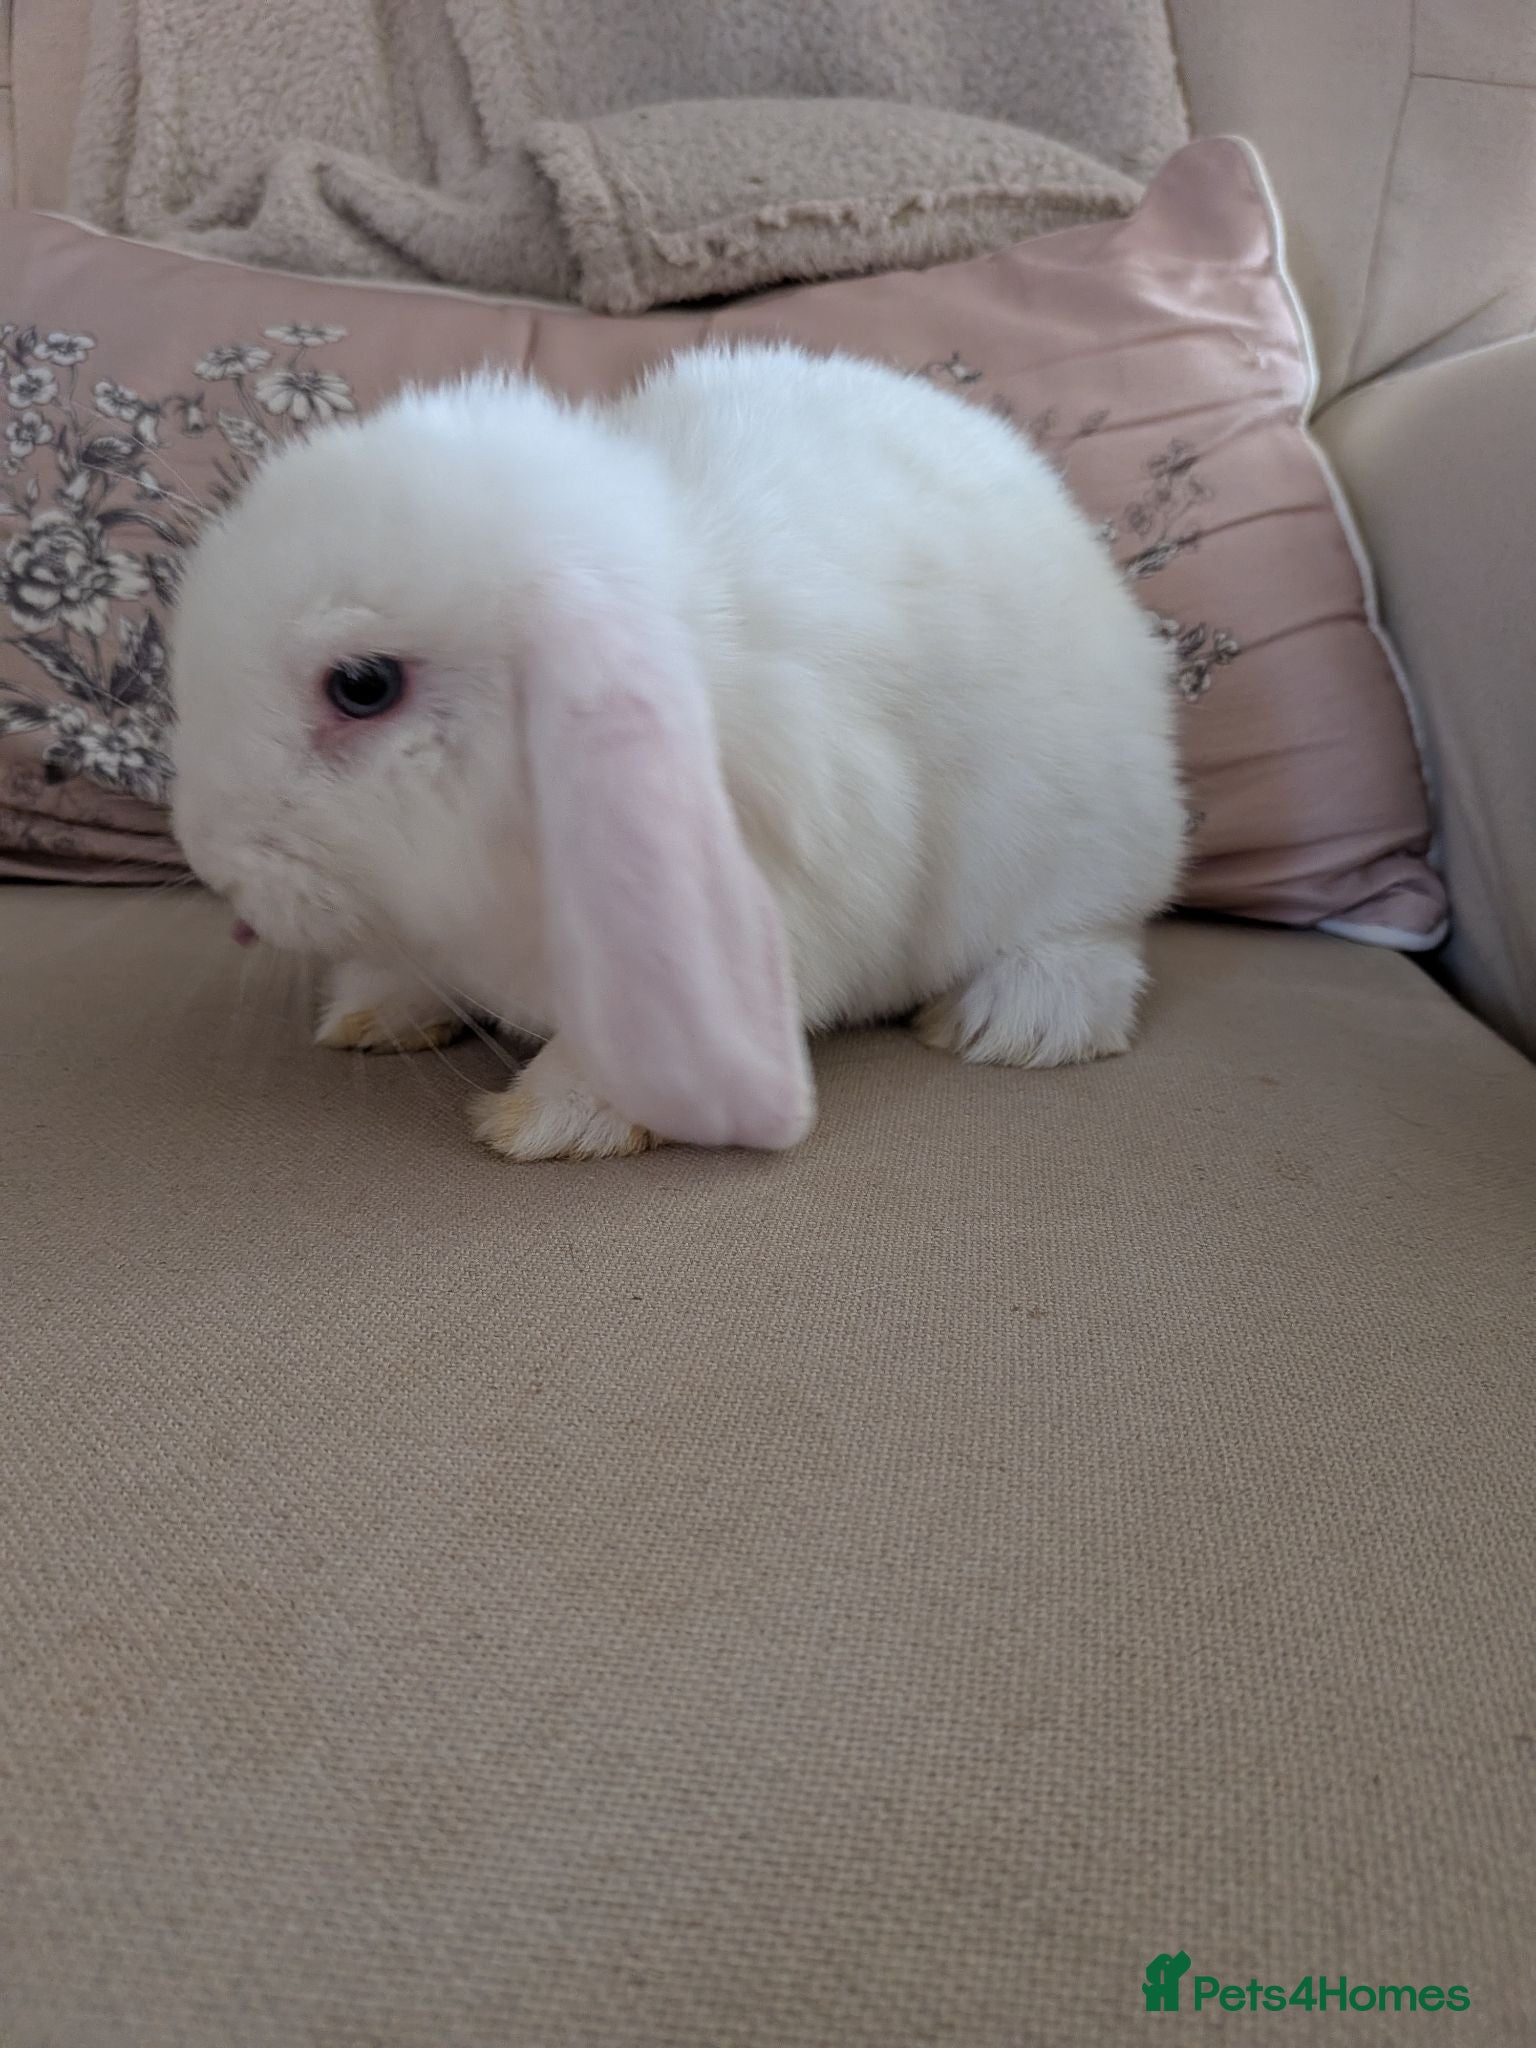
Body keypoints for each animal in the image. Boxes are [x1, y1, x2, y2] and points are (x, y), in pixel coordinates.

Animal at [169, 342, 1184, 1162]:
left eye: (362, 686)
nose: (212, 865)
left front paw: (550, 1120)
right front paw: (372, 1010)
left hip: (1076, 853)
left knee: (1092, 942)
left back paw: (1014, 1022)